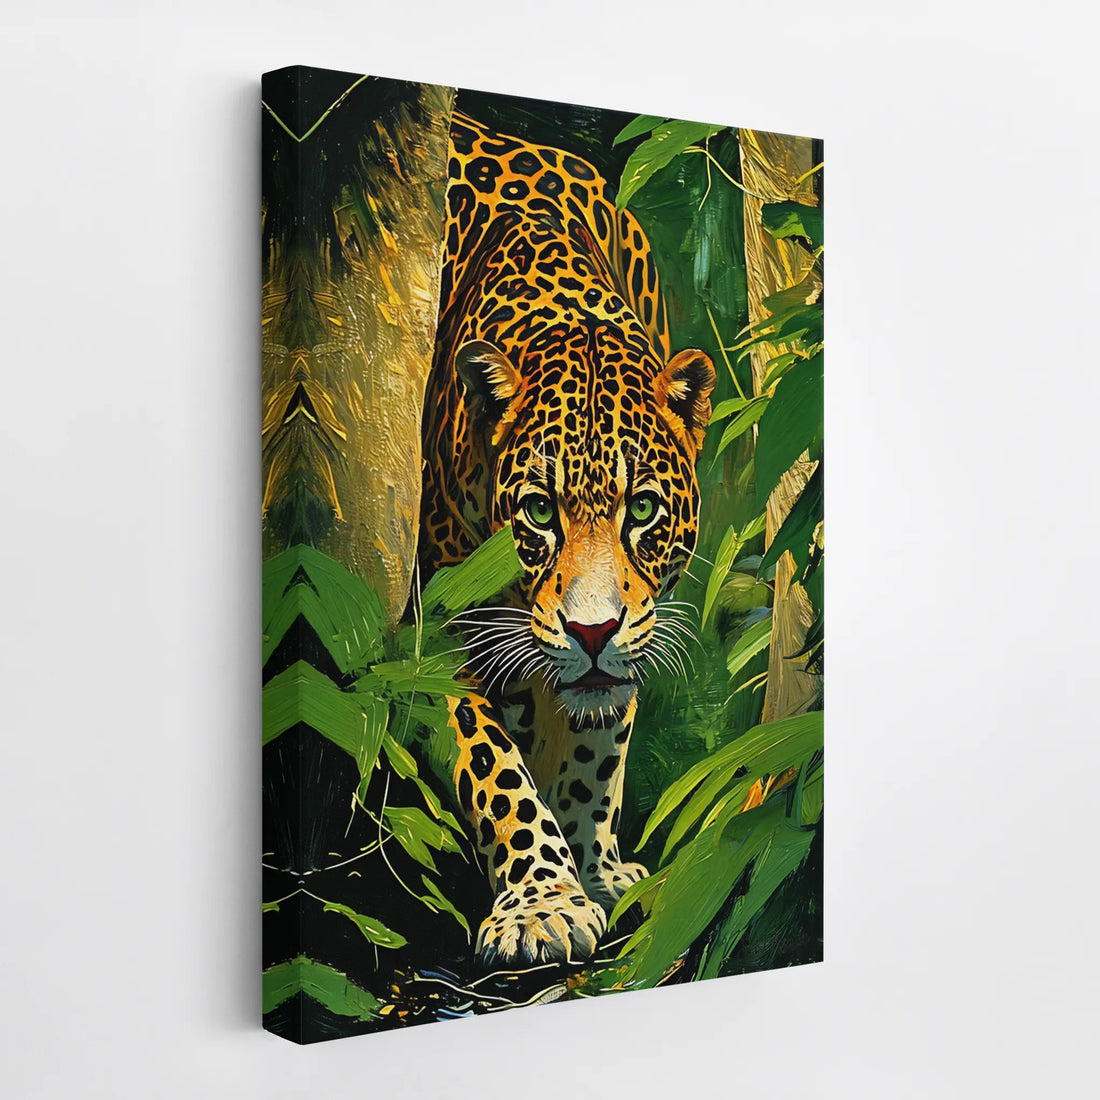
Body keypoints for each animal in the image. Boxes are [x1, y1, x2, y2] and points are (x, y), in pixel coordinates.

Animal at [419, 111, 716, 967]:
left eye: (642, 510)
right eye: (540, 512)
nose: (592, 631)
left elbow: (597, 746)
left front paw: (593, 867)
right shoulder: (445, 627)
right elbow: (495, 766)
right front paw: (543, 903)